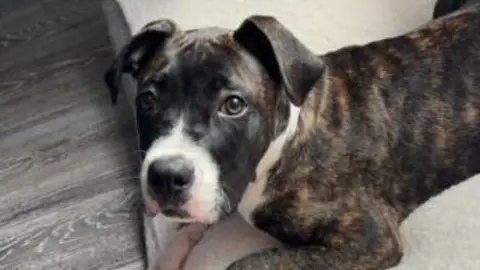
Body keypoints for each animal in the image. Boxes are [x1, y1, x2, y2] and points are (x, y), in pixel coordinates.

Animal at [104, 1, 480, 268]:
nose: (166, 177)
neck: (285, 141)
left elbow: (250, 263)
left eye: (233, 105)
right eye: (147, 101)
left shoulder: (370, 239)